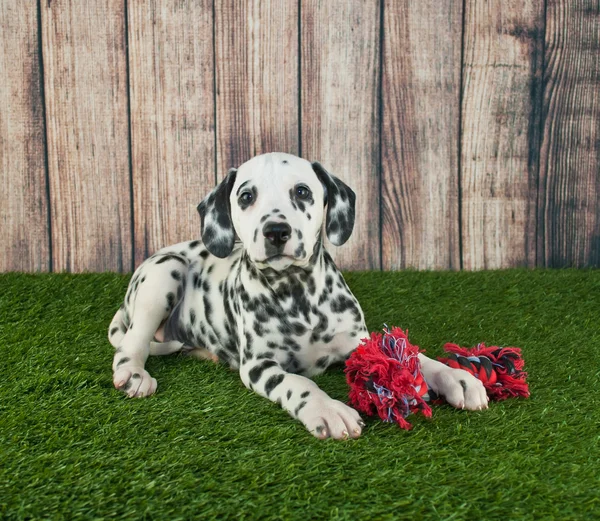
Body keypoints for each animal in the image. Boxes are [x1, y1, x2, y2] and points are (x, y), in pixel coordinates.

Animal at [108, 151, 490, 438]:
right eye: (246, 196)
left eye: (303, 192)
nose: (276, 231)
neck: (298, 295)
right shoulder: (260, 365)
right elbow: (295, 381)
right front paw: (328, 408)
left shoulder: (358, 342)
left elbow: (409, 356)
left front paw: (454, 376)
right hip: (163, 275)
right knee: (131, 344)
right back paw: (134, 375)